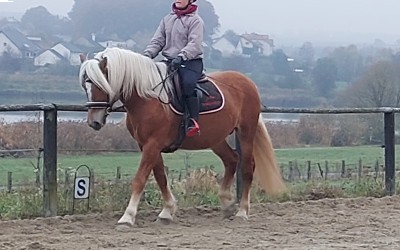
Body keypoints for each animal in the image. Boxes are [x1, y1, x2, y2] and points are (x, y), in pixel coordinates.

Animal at [78, 47, 286, 227]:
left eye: (101, 84)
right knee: (232, 160)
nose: (94, 122)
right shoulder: (146, 144)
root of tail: (247, 82)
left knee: (247, 168)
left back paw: (242, 211)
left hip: (246, 132)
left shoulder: (153, 144)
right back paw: (227, 203)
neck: (147, 97)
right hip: (215, 139)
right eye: (84, 86)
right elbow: (160, 176)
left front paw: (127, 217)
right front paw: (167, 212)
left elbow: (140, 178)